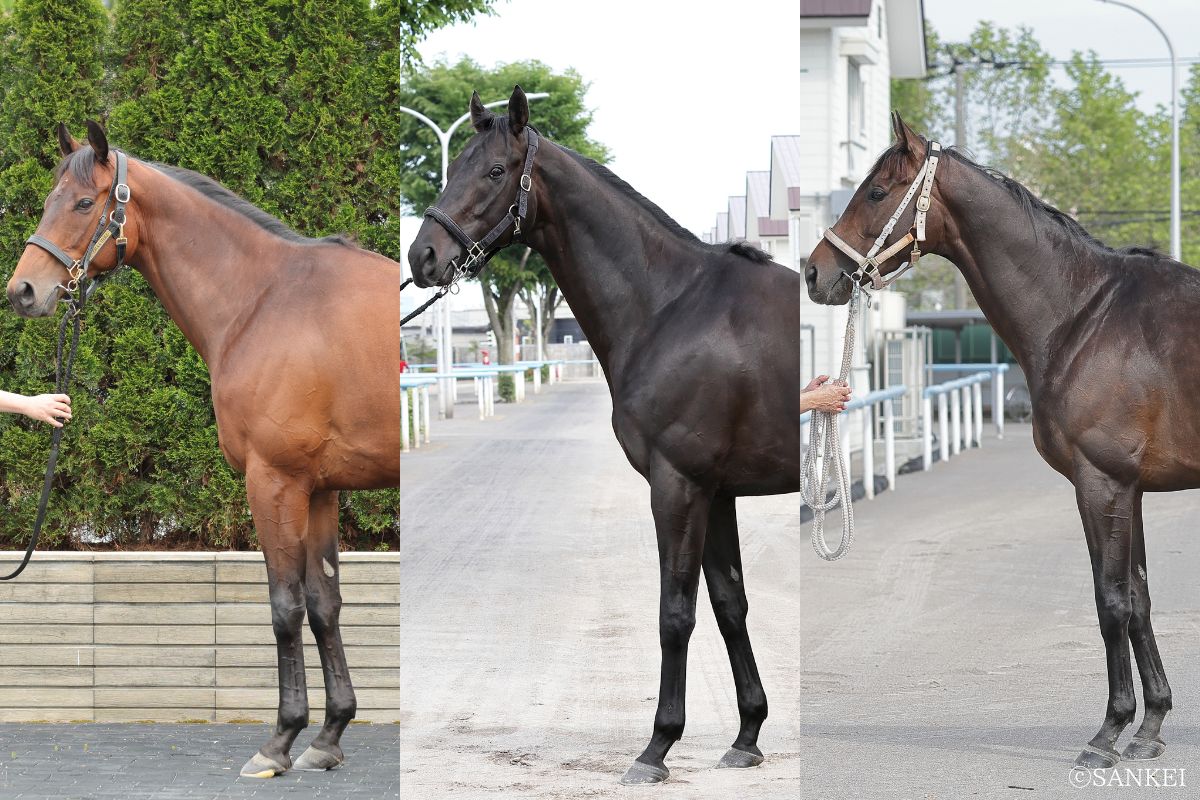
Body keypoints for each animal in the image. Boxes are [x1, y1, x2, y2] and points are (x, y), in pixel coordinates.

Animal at [6, 122, 400, 778]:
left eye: (84, 203)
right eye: (45, 202)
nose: (23, 291)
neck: (265, 300)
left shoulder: (275, 481)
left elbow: (284, 607)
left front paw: (280, 741)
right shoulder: (320, 488)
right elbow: (325, 604)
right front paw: (329, 736)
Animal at [407, 86, 800, 785]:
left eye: (495, 172)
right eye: (453, 169)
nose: (423, 257)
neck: (670, 306)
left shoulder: (677, 485)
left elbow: (675, 613)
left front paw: (657, 746)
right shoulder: (717, 490)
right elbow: (730, 604)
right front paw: (748, 734)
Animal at [807, 112, 1196, 770]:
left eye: (877, 192)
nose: (815, 273)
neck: (1083, 316)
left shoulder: (1102, 485)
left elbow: (1111, 603)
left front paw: (1109, 731)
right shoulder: (1132, 489)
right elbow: (1138, 598)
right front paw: (1150, 727)